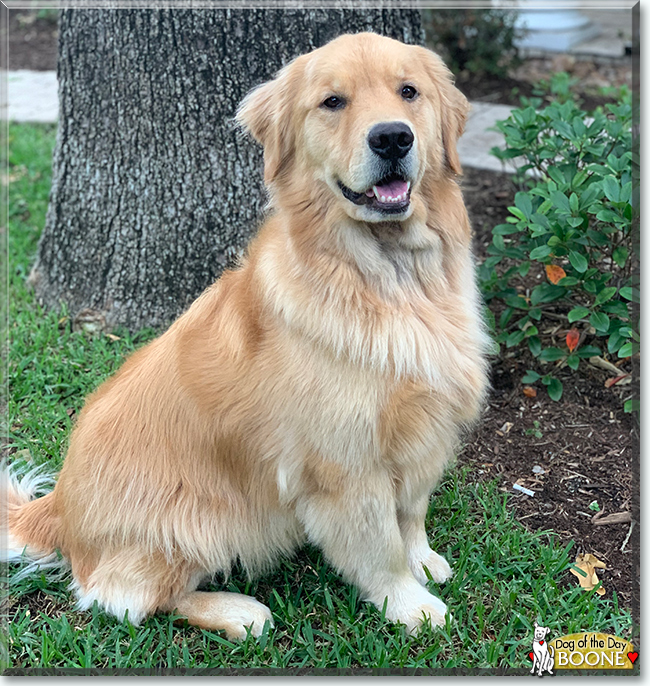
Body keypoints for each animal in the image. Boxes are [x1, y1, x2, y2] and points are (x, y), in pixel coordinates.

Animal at [3, 32, 486, 644]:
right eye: (333, 102)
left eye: (409, 92)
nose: (393, 137)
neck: (391, 278)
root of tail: (59, 508)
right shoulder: (346, 466)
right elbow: (381, 548)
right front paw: (409, 603)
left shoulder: (423, 428)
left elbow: (412, 511)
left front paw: (423, 560)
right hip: (199, 519)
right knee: (122, 597)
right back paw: (237, 610)